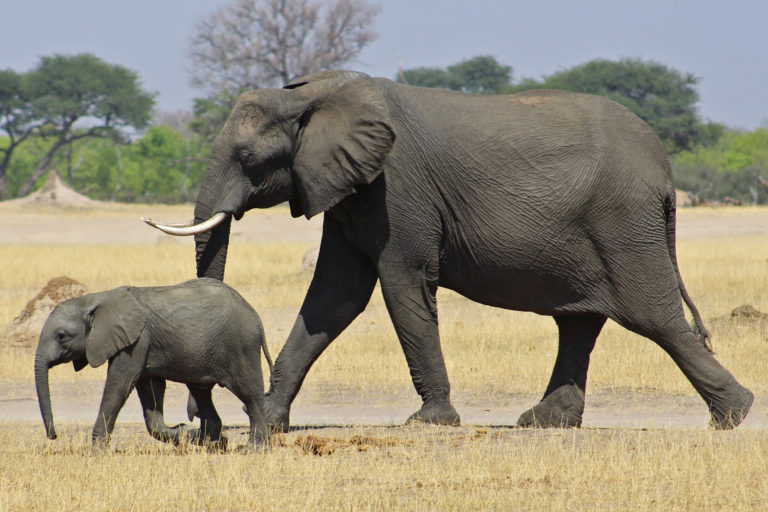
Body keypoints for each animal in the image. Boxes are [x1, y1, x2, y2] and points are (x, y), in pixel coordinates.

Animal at [33, 278, 272, 450]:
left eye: (61, 336)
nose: (53, 436)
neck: (94, 299)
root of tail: (256, 317)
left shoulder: (137, 341)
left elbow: (119, 386)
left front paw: (96, 452)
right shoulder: (144, 345)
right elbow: (151, 390)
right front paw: (182, 434)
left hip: (241, 345)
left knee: (249, 393)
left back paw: (254, 449)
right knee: (202, 392)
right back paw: (213, 444)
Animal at [146, 70, 756, 432]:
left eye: (249, 158)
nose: (196, 422)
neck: (309, 93)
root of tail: (665, 170)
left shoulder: (397, 187)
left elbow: (401, 285)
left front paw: (429, 423)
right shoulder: (350, 189)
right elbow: (334, 298)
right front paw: (273, 421)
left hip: (623, 224)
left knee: (654, 317)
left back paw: (733, 416)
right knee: (580, 321)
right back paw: (541, 423)